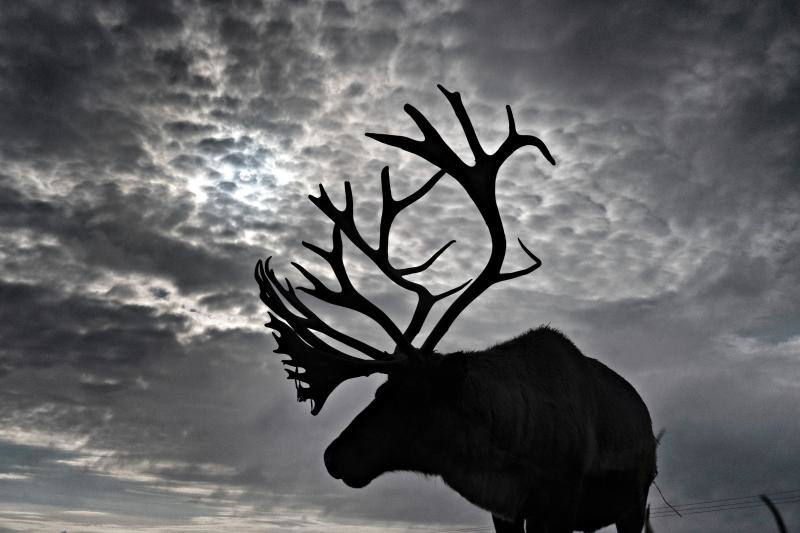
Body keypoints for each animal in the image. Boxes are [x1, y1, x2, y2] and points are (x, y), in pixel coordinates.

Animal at [256, 85, 656, 528]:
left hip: (635, 500)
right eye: (379, 389)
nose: (332, 457)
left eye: (409, 395)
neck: (507, 456)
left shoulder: (561, 502)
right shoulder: (506, 511)